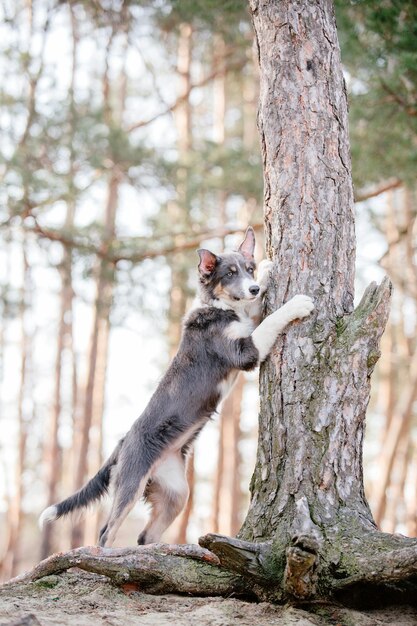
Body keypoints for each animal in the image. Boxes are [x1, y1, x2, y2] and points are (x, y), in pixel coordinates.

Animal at [39, 227, 312, 544]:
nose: (254, 287)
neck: (218, 307)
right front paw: (298, 304)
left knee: (145, 535)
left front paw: (268, 271)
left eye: (249, 269)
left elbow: (257, 310)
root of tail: (122, 443)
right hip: (131, 484)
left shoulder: (248, 322)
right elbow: (270, 320)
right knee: (107, 531)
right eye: (229, 274)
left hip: (176, 492)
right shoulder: (245, 351)